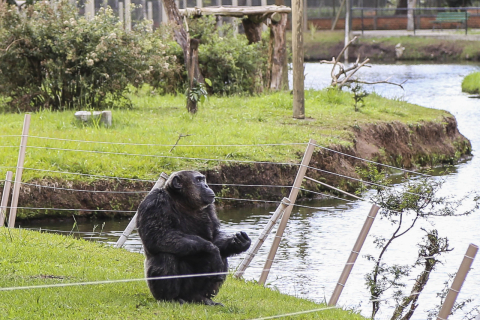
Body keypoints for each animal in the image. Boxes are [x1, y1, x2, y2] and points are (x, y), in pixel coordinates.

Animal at [136, 170, 251, 304]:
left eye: (203, 179)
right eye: (198, 180)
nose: (206, 185)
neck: (183, 202)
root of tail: (189, 298)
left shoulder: (209, 207)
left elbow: (214, 236)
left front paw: (238, 242)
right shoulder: (155, 201)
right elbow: (158, 236)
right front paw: (212, 250)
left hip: (194, 292)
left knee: (223, 255)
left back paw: (204, 299)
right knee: (165, 255)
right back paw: (172, 299)